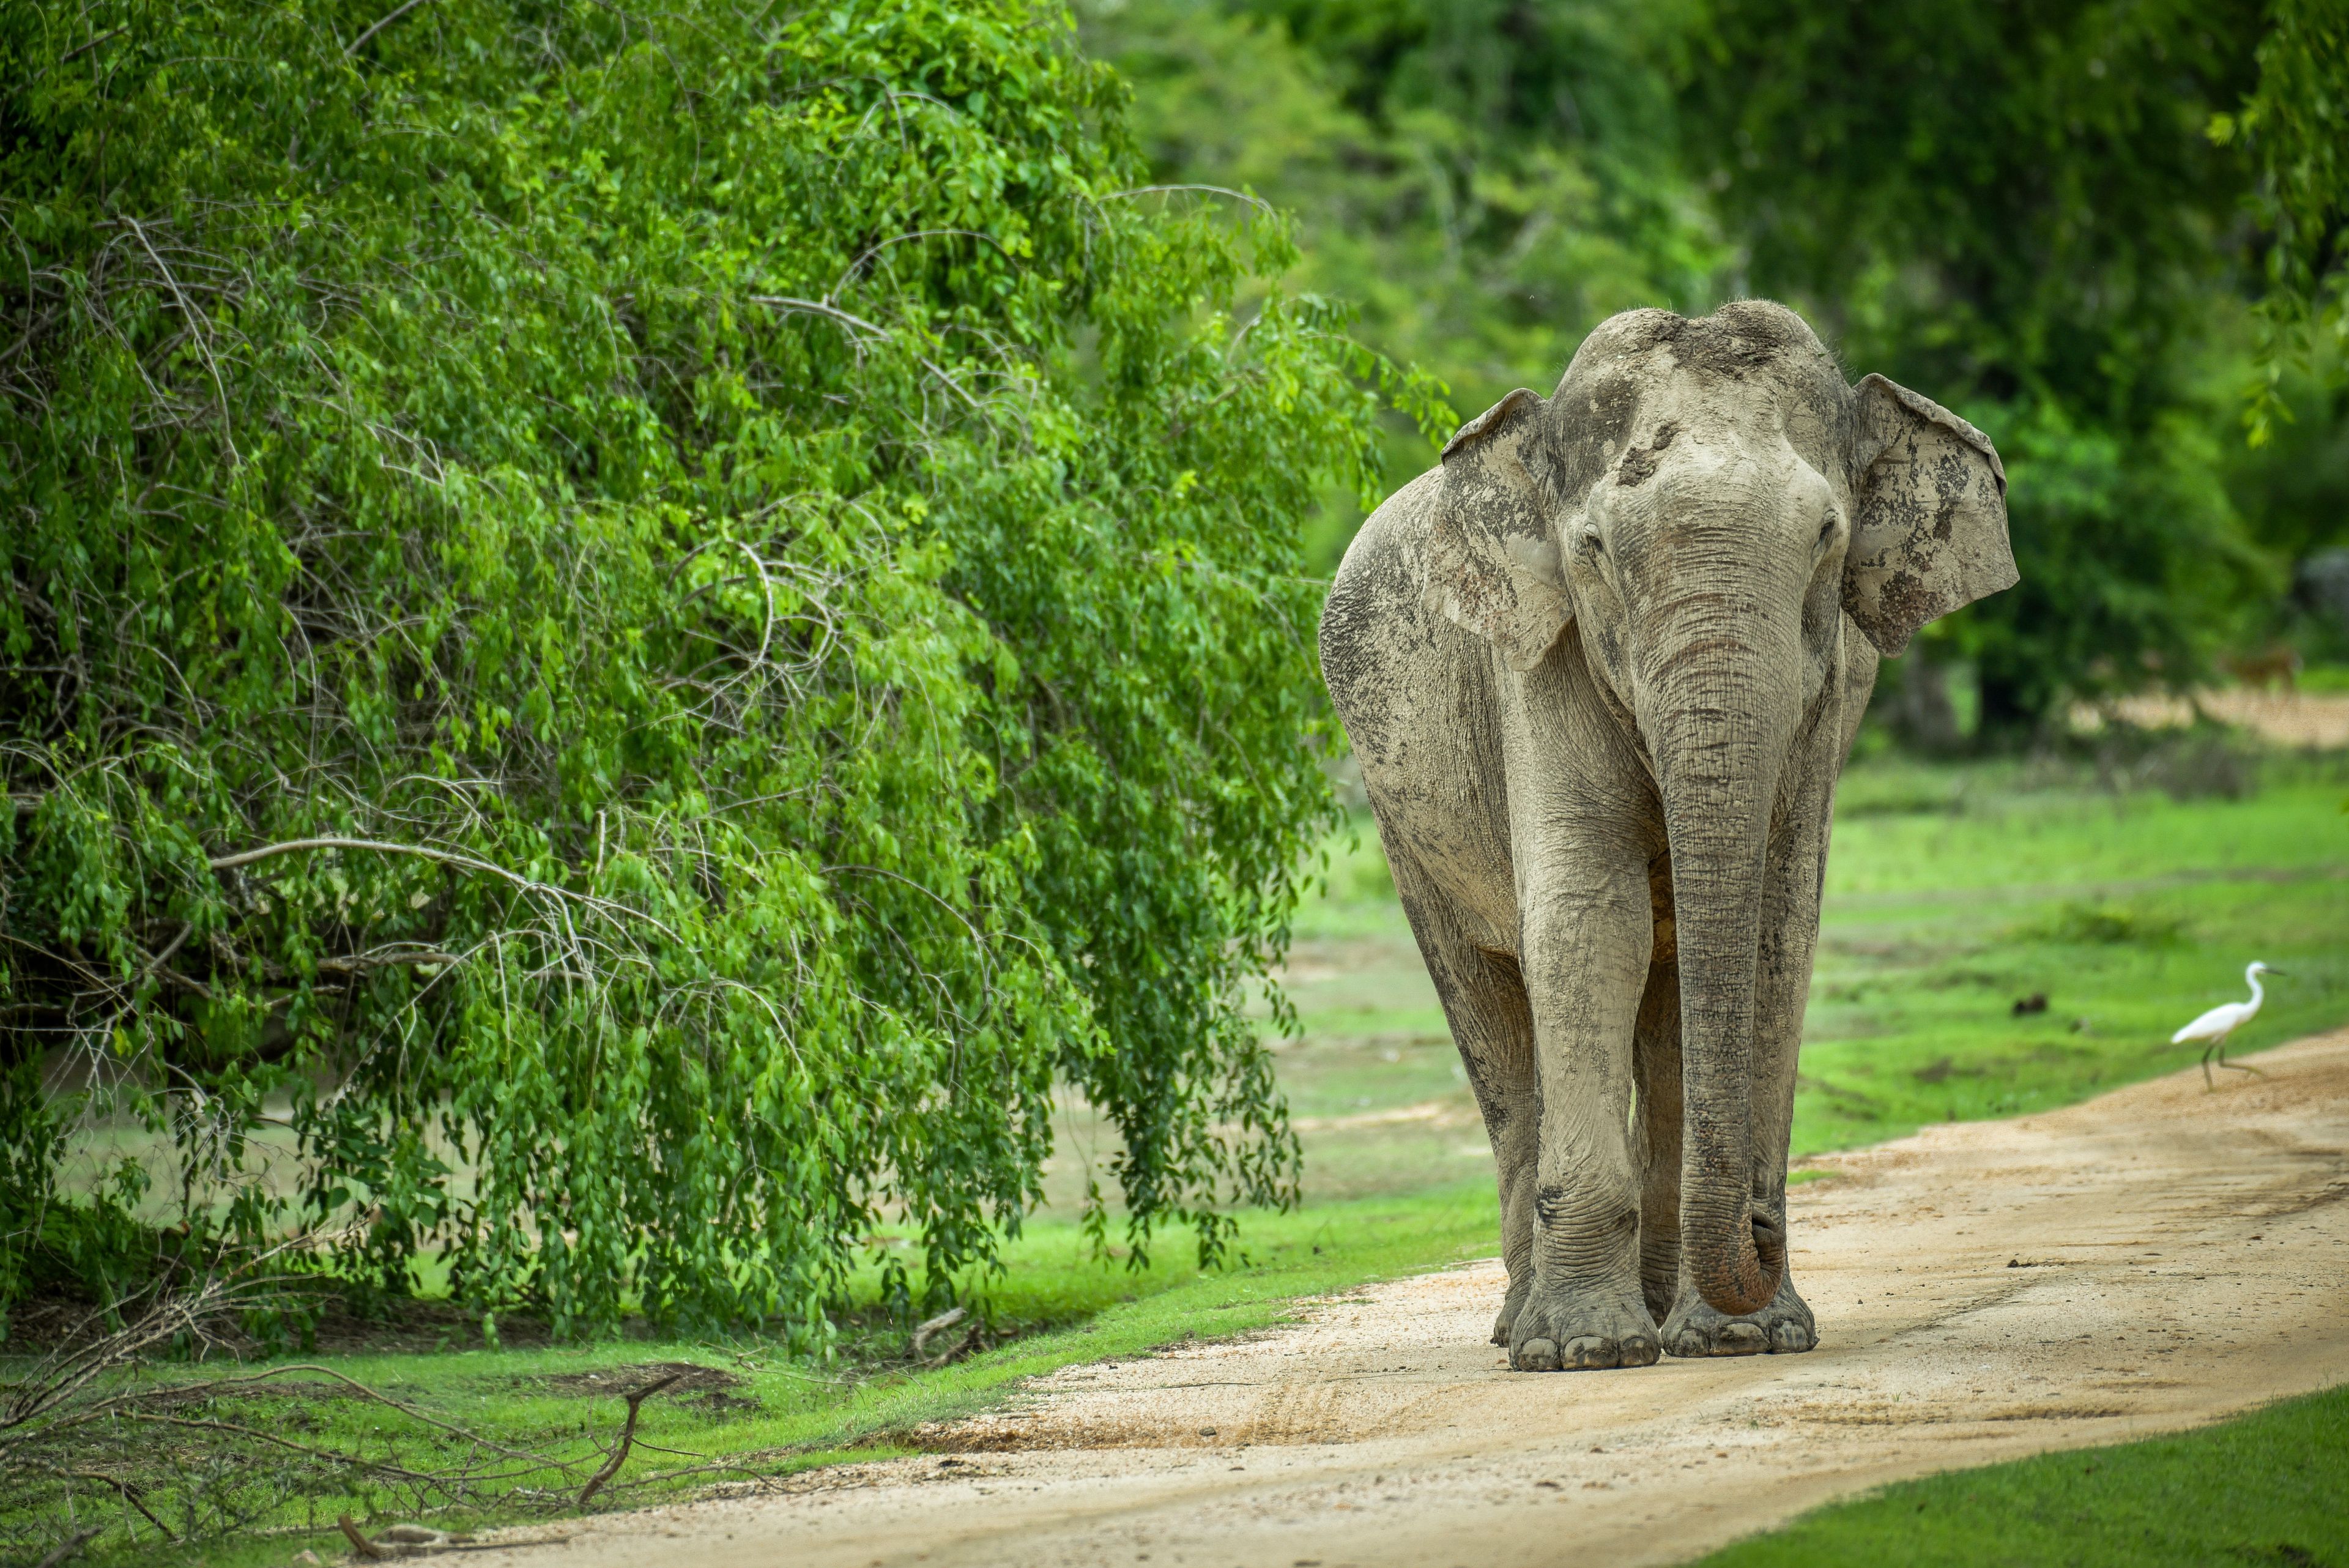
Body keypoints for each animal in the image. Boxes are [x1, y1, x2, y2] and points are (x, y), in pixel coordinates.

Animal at [1318, 301, 2015, 1372]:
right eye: (1595, 549)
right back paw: (1526, 1325)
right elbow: (1588, 924)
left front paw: (1749, 1337)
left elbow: (1773, 931)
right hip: (1403, 821)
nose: (1762, 1226)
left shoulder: (1825, 704)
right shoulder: (1539, 660)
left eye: (1828, 535)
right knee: (1490, 1008)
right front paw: (1583, 1350)